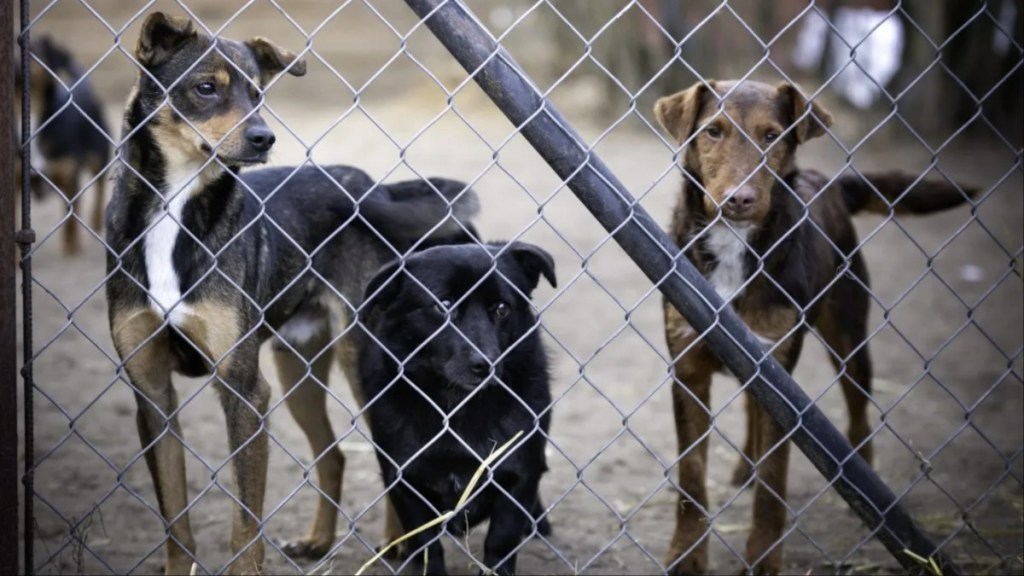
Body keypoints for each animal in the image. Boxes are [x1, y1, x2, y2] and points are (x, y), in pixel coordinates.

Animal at [108, 13, 479, 573]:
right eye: (205, 88)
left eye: (258, 93)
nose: (264, 137)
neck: (176, 209)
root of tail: (371, 187)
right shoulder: (152, 396)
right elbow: (176, 522)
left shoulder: (245, 391)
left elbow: (245, 527)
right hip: (296, 368)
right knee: (334, 455)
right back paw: (319, 541)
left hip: (361, 363)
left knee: (395, 458)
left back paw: (399, 545)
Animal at [362, 239, 561, 569]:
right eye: (443, 305)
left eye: (503, 308)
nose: (486, 365)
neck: (458, 407)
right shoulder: (405, 483)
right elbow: (426, 548)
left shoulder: (518, 477)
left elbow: (500, 544)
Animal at [651, 79, 978, 573]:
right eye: (713, 131)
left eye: (772, 136)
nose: (740, 200)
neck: (735, 246)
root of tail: (830, 182)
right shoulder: (689, 369)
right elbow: (691, 477)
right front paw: (687, 553)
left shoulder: (779, 375)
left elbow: (774, 482)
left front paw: (764, 558)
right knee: (752, 409)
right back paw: (745, 464)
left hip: (848, 338)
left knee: (859, 414)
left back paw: (862, 485)